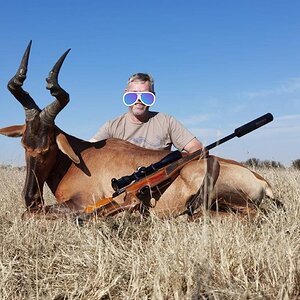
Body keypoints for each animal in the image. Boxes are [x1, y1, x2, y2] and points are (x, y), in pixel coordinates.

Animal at [0, 41, 276, 220]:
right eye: (25, 145)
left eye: (48, 147)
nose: (31, 199)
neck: (79, 157)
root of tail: (259, 179)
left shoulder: (82, 203)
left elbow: (34, 216)